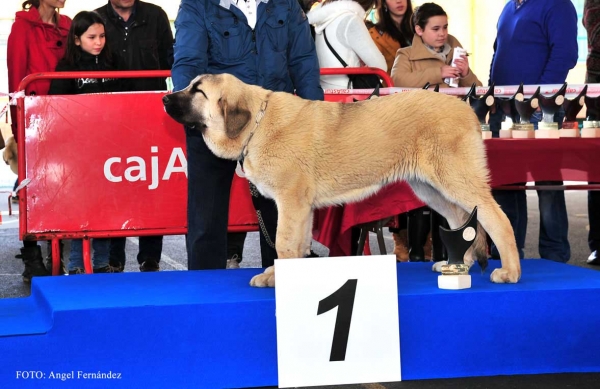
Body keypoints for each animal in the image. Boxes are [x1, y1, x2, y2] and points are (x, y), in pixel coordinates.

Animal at [163, 73, 520, 284]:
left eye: (198, 91)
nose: (164, 98)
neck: (257, 123)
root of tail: (467, 109)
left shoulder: (290, 202)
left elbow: (283, 243)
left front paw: (278, 279)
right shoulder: (300, 208)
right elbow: (298, 243)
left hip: (456, 179)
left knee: (497, 218)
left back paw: (509, 271)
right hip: (431, 188)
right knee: (462, 219)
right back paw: (462, 264)